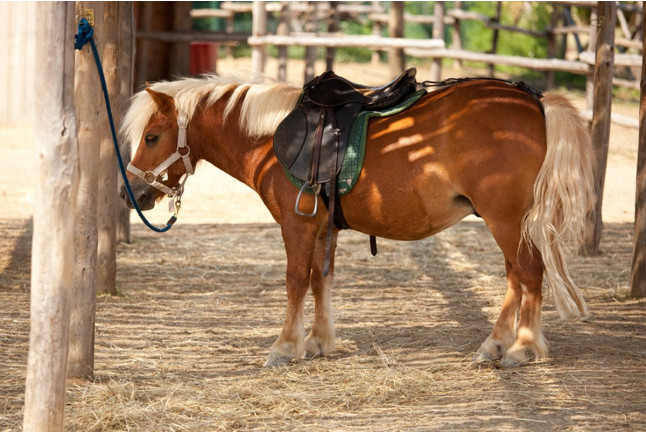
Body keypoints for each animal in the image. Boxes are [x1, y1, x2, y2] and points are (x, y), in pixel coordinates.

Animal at [120, 72, 594, 368]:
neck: (271, 136)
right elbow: (319, 280)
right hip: (505, 223)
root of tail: (534, 101)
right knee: (516, 277)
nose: (133, 193)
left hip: (506, 221)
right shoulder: (319, 229)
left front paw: (284, 347)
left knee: (529, 274)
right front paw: (318, 341)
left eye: (152, 137)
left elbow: (296, 281)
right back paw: (494, 344)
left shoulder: (296, 227)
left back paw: (522, 348)